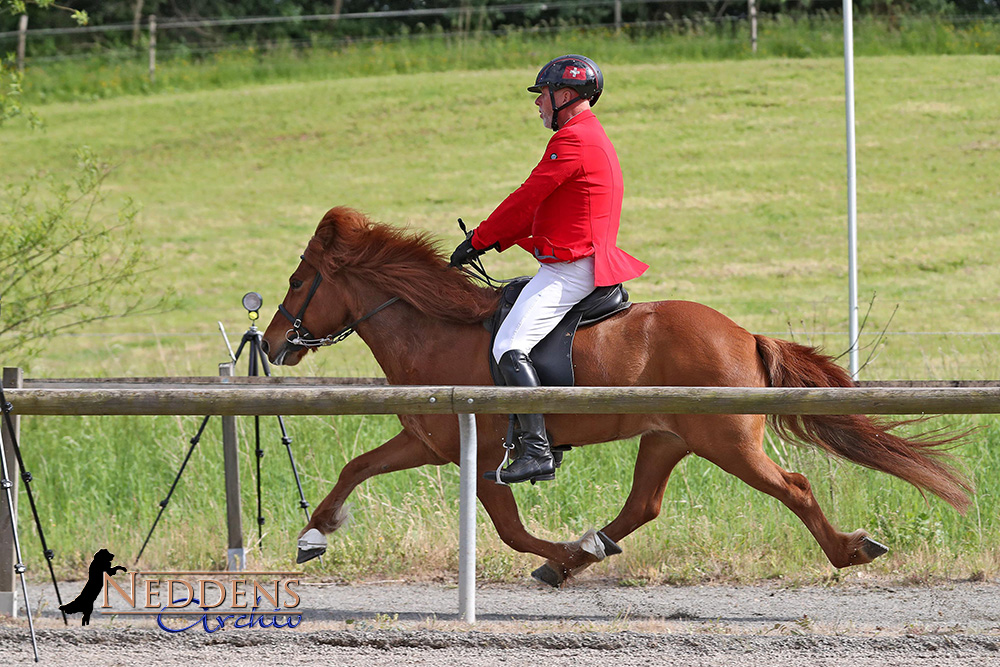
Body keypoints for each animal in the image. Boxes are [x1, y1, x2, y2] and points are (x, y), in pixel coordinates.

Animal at [262, 206, 972, 588]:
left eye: (297, 282)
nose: (271, 345)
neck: (434, 328)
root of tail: (742, 334)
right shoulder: (427, 440)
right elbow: (356, 467)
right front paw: (314, 534)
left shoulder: (481, 455)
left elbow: (511, 530)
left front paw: (558, 554)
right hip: (667, 438)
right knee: (644, 504)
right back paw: (588, 550)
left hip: (729, 442)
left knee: (792, 487)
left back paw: (848, 550)